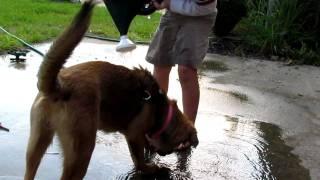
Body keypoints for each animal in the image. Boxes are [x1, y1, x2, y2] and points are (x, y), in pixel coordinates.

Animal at [24, 0, 198, 179]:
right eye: (180, 144)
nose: (163, 154)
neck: (160, 108)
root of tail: (60, 86)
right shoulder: (134, 135)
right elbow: (139, 160)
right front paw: (152, 168)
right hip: (82, 150)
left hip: (36, 146)